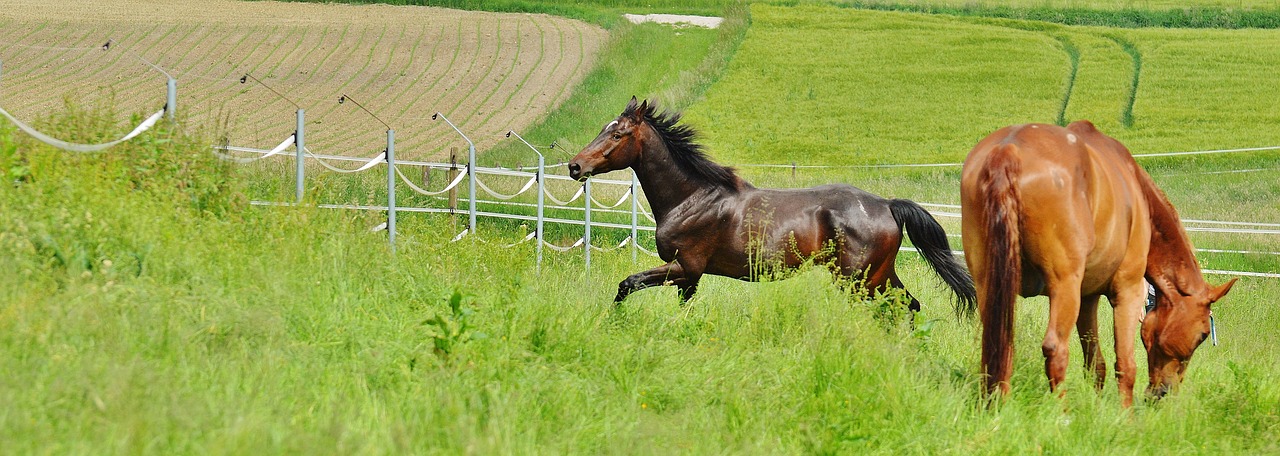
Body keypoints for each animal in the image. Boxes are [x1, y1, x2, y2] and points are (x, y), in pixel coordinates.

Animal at [565, 97, 972, 315]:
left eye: (617, 134)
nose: (575, 167)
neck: (691, 198)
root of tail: (887, 206)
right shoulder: (690, 277)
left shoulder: (684, 267)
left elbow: (626, 285)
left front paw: (615, 321)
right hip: (879, 275)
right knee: (909, 307)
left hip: (858, 280)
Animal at [962, 120, 1233, 407]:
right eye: (1203, 334)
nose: (1161, 393)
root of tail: (1008, 149)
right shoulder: (1127, 292)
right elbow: (1125, 365)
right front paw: (1125, 415)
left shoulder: (1087, 298)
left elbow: (1095, 363)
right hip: (1064, 289)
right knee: (1055, 349)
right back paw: (1062, 412)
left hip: (990, 285)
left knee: (999, 344)